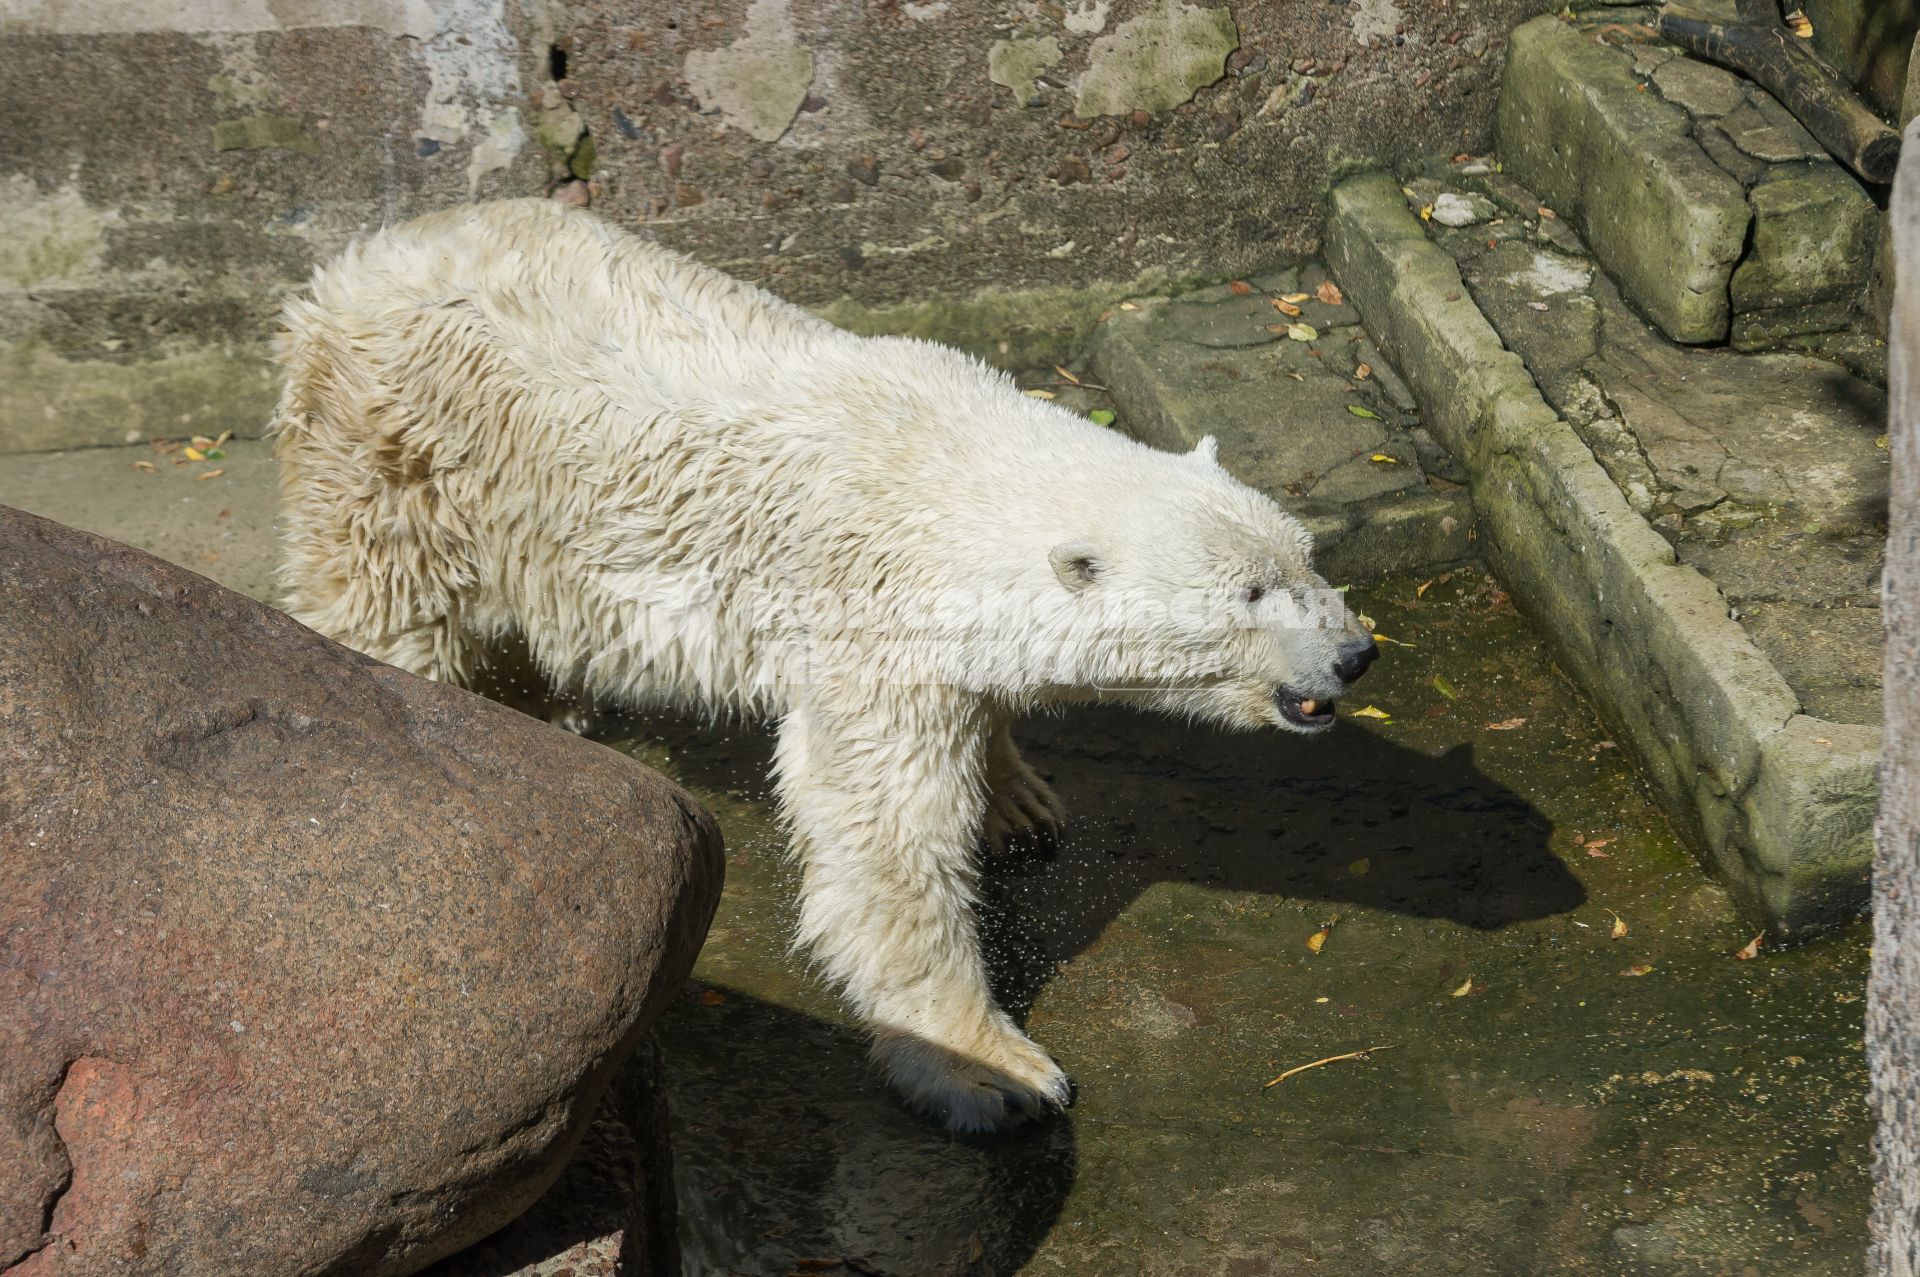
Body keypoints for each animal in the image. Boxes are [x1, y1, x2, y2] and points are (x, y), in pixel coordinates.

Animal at [270, 201, 1382, 1136]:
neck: (947, 467)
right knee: (380, 608)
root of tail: (352, 263)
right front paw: (991, 1068)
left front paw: (1020, 799)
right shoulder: (869, 620)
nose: (1356, 651)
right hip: (389, 453)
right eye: (1249, 593)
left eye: (1304, 556)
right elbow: (886, 841)